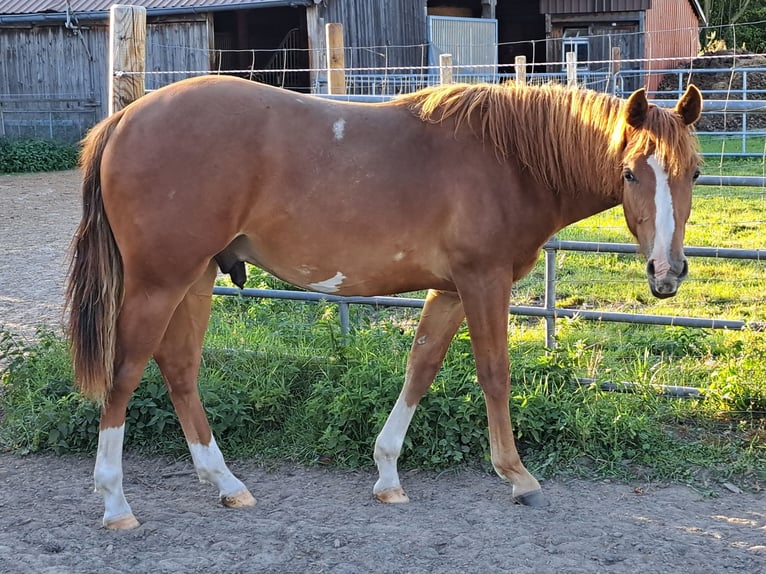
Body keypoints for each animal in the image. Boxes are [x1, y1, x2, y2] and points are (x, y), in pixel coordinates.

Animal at [66, 75, 702, 529]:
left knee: (179, 370)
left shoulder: (450, 290)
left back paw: (226, 484)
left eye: (694, 171)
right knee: (125, 372)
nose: (666, 273)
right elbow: (495, 374)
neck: (509, 162)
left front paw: (388, 473)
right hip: (158, 282)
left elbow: (421, 367)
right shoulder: (484, 281)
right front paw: (517, 476)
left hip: (196, 278)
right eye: (630, 173)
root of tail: (125, 118)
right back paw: (115, 503)